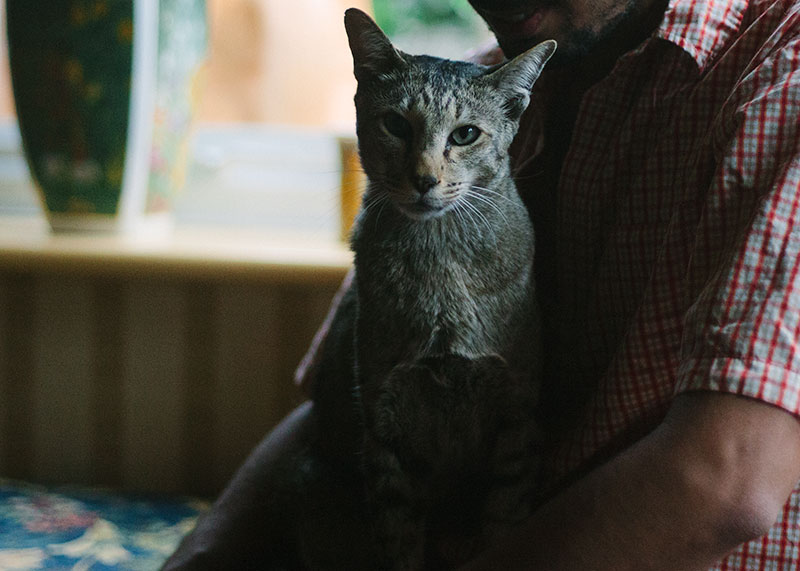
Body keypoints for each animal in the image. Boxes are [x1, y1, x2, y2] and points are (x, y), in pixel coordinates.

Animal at [344, 8, 556, 571]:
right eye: (396, 124)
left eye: (465, 135)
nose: (424, 179)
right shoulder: (384, 426)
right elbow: (398, 539)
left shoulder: (517, 417)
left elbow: (503, 523)